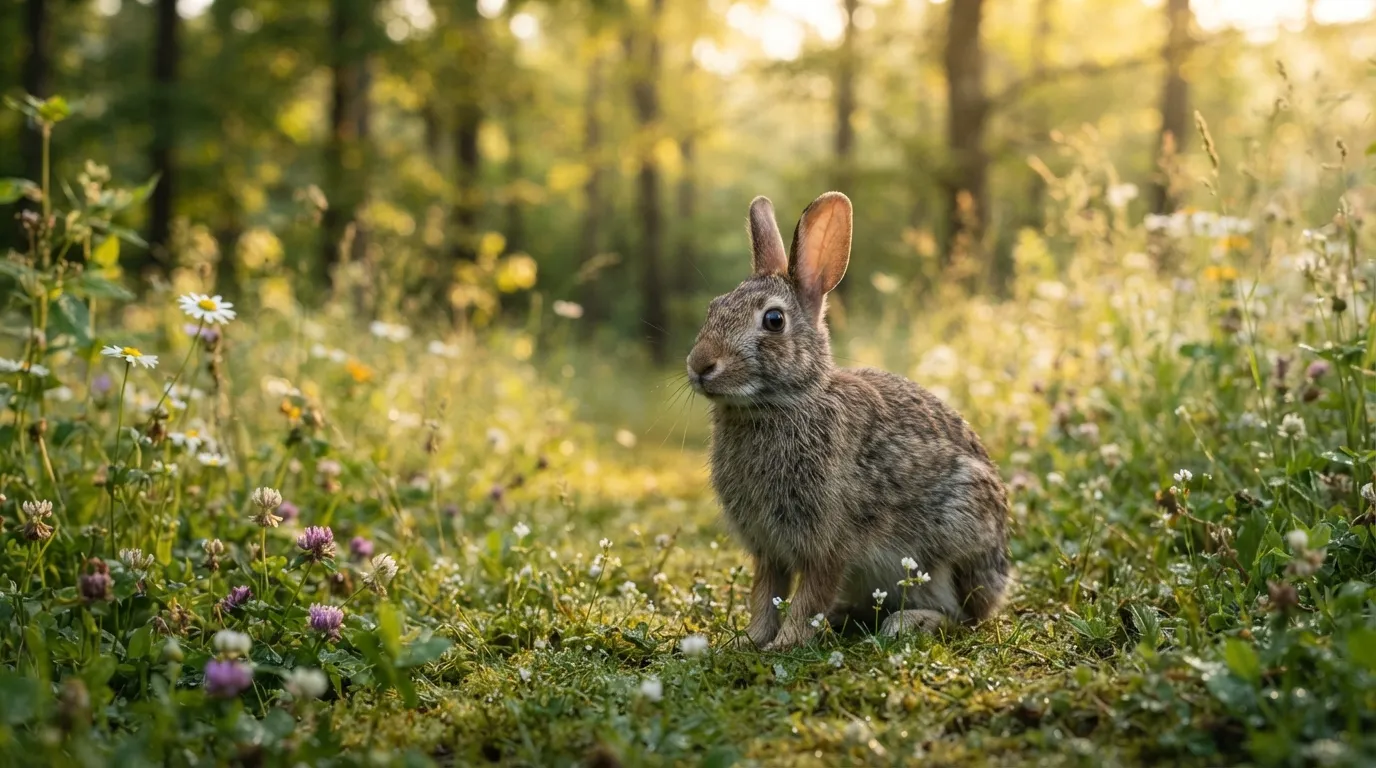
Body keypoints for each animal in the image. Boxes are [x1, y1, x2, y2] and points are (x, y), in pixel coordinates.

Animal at [685, 192, 1010, 650]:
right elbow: (766, 594)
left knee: (962, 616)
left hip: (954, 540)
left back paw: (908, 623)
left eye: (773, 320)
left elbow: (810, 593)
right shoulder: (767, 547)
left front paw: (785, 643)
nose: (700, 365)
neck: (780, 405)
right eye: (714, 307)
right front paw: (749, 641)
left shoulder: (829, 542)